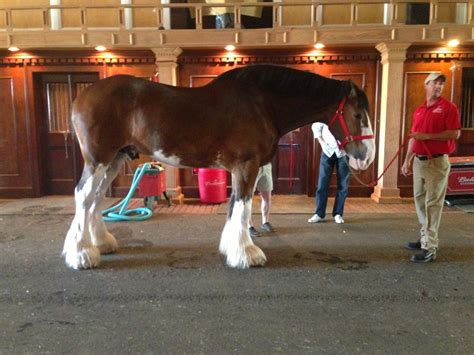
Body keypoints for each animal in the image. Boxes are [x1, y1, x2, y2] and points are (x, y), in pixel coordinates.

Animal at [64, 64, 374, 270]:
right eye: (358, 114)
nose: (367, 157)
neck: (262, 103)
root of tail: (81, 97)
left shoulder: (240, 169)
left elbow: (235, 206)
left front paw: (232, 248)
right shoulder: (246, 166)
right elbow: (243, 207)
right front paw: (246, 254)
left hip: (114, 160)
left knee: (95, 199)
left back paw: (100, 244)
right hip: (98, 160)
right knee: (83, 196)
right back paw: (80, 254)